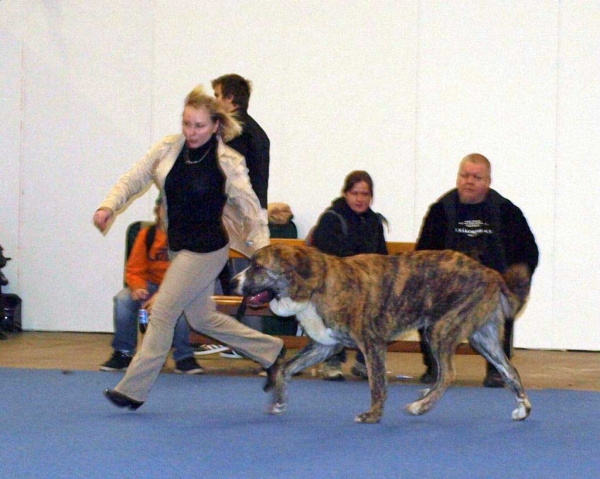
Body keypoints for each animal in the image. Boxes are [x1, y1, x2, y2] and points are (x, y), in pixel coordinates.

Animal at [232, 244, 532, 424]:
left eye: (257, 267)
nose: (234, 281)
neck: (317, 284)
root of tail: (491, 273)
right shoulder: (324, 345)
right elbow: (285, 368)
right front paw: (279, 403)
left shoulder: (372, 343)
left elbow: (377, 384)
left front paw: (373, 415)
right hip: (482, 338)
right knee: (510, 370)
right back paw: (523, 408)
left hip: (439, 329)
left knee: (448, 374)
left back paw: (420, 406)